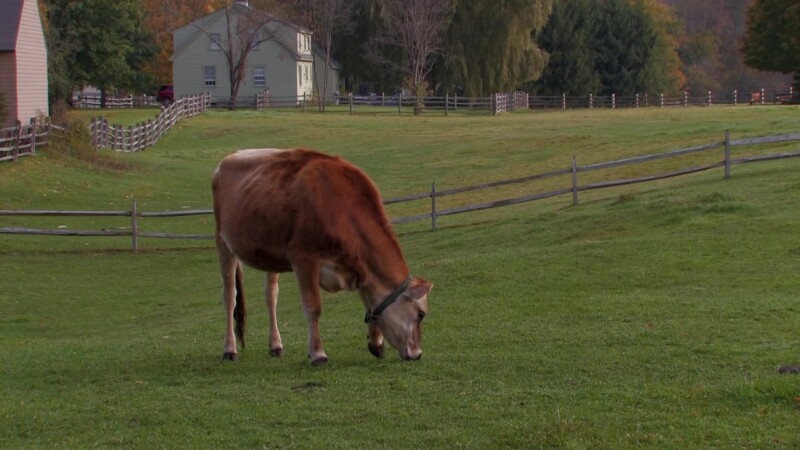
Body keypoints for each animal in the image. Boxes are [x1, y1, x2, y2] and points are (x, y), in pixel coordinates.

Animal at [211, 148, 432, 365]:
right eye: (421, 314)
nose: (418, 353)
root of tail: (228, 158)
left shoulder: (359, 267)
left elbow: (370, 305)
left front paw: (376, 344)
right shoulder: (304, 259)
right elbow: (313, 307)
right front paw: (318, 353)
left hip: (269, 253)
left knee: (271, 296)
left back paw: (275, 345)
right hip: (222, 243)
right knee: (230, 296)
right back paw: (229, 350)